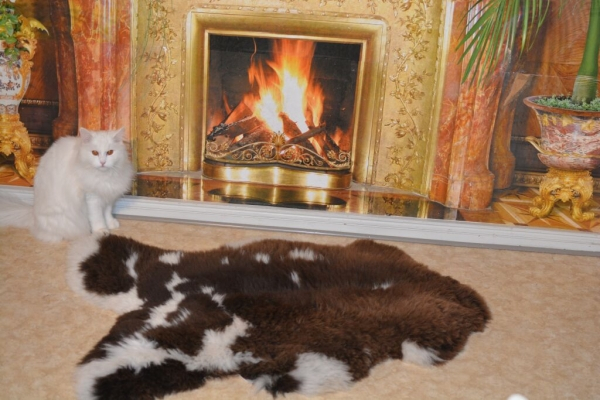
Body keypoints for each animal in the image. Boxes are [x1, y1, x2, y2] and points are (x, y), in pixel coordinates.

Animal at [0, 126, 134, 242]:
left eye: (110, 152)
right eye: (95, 153)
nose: (102, 162)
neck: (104, 176)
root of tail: (33, 214)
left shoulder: (109, 196)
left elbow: (107, 212)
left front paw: (111, 224)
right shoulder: (92, 198)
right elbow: (97, 217)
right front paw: (101, 231)